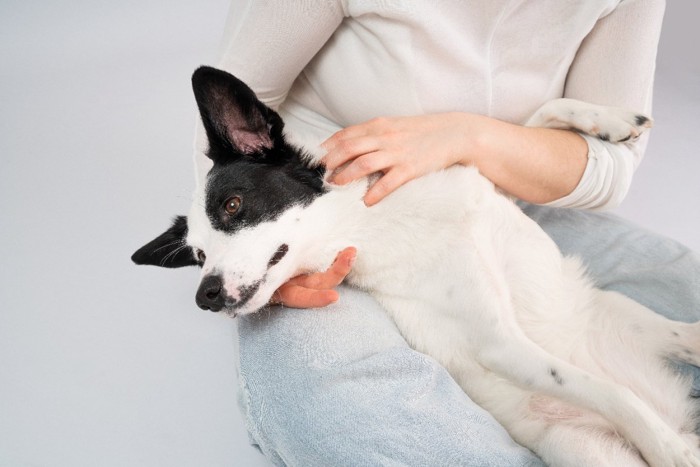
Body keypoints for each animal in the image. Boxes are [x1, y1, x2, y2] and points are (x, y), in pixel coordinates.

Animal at [133, 66, 700, 467]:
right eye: (198, 256)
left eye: (232, 205)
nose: (204, 295)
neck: (376, 223)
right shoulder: (502, 347)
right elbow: (612, 393)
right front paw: (673, 451)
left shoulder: (507, 192)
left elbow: (536, 114)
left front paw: (613, 121)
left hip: (625, 314)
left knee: (681, 334)